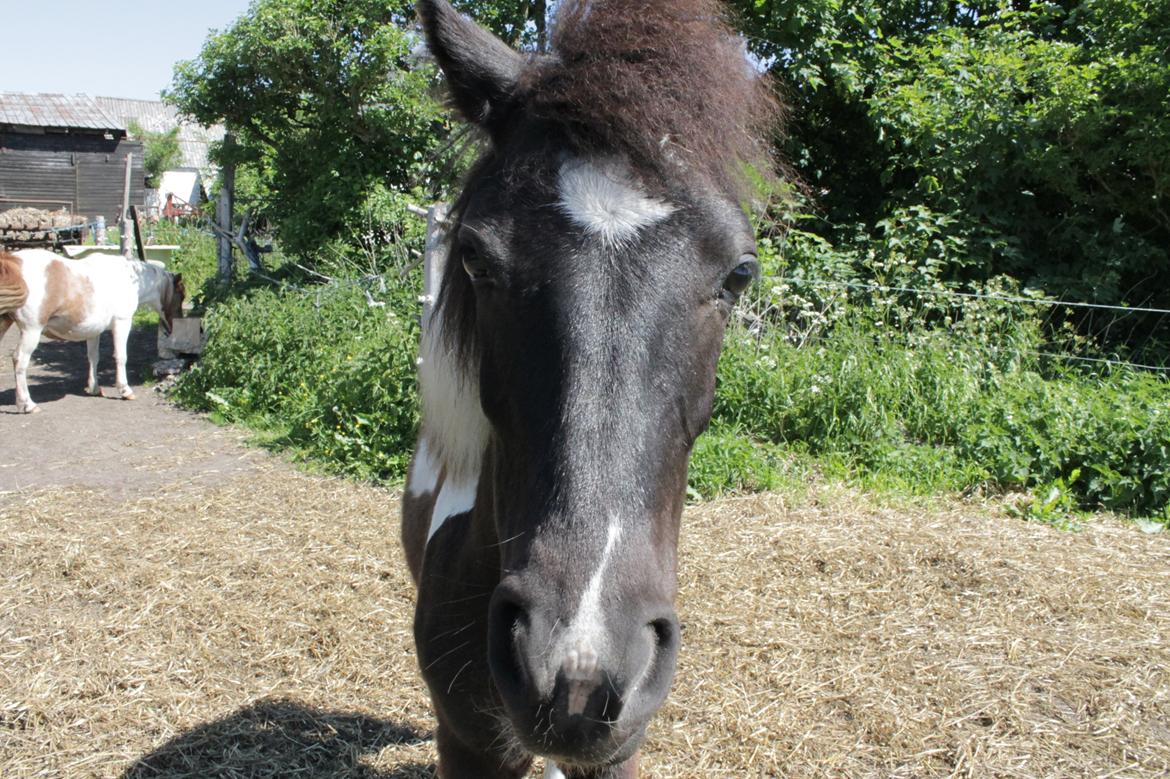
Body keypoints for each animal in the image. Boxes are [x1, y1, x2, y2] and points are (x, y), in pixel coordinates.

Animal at [0, 249, 183, 411]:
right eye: (181, 296)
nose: (172, 328)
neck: (131, 279)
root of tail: (12, 262)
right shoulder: (122, 323)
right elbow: (121, 357)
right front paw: (125, 390)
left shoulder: (93, 331)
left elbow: (93, 358)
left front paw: (94, 388)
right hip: (31, 331)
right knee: (20, 361)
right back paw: (27, 404)